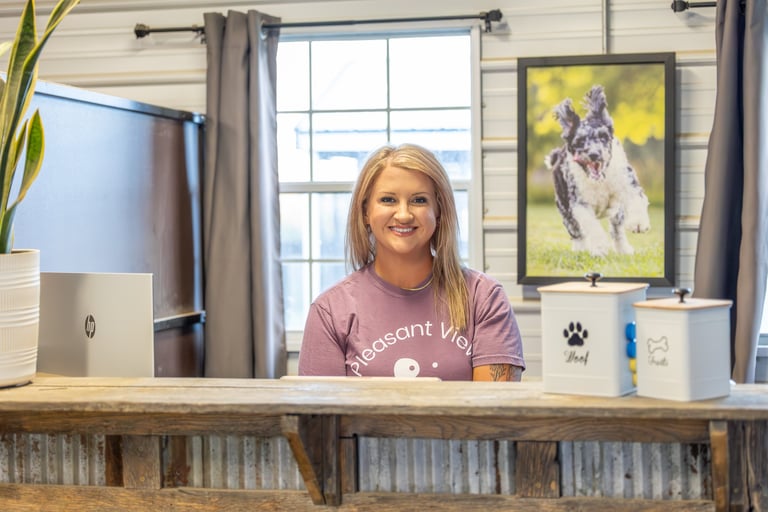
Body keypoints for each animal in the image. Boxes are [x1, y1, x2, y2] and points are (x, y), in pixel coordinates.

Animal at [545, 85, 651, 257]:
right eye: (580, 141)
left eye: (603, 137)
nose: (594, 154)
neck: (600, 181)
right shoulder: (579, 204)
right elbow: (591, 226)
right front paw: (600, 247)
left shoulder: (628, 182)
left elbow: (637, 198)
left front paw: (638, 222)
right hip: (565, 209)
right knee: (576, 233)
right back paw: (580, 250)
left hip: (617, 212)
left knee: (617, 231)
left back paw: (624, 249)